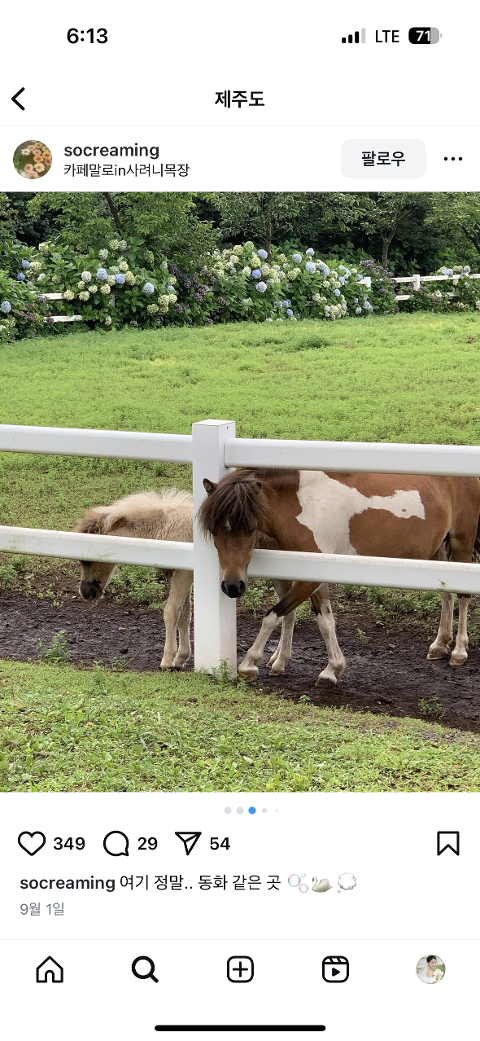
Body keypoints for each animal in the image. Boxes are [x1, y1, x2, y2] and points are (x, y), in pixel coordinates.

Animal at [197, 470, 478, 682]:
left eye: (251, 529)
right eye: (214, 529)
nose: (233, 586)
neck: (304, 505)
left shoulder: (309, 578)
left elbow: (272, 616)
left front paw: (249, 664)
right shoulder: (312, 578)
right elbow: (324, 621)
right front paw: (332, 668)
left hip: (462, 545)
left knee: (463, 596)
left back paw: (459, 651)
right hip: (439, 551)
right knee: (446, 594)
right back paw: (439, 645)